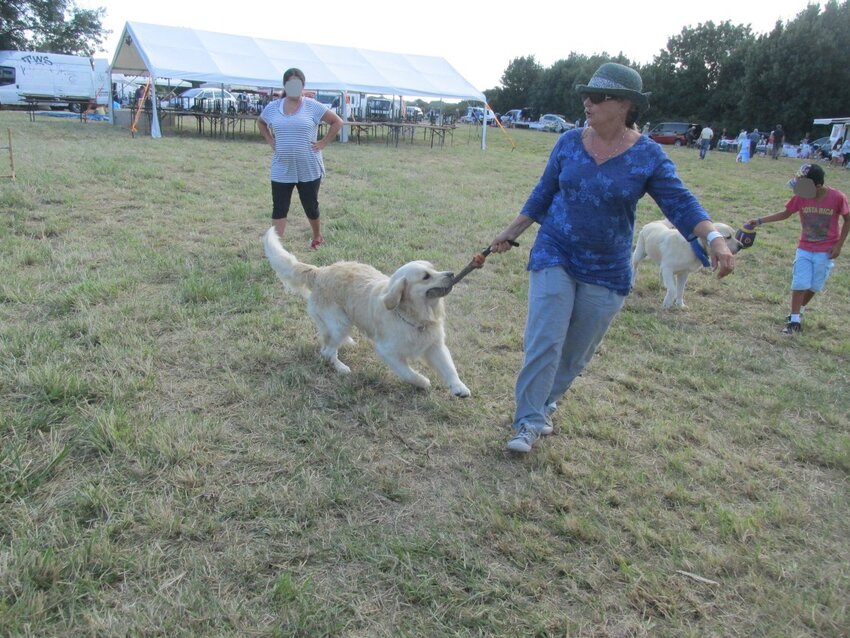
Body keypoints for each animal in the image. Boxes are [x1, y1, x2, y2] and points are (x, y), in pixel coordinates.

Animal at [262, 230, 470, 398]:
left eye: (434, 269)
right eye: (426, 276)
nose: (451, 274)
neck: (414, 318)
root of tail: (320, 271)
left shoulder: (435, 345)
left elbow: (449, 368)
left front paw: (459, 388)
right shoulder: (387, 351)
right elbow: (408, 372)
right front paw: (422, 382)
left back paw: (347, 342)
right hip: (339, 323)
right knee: (327, 352)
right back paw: (341, 367)